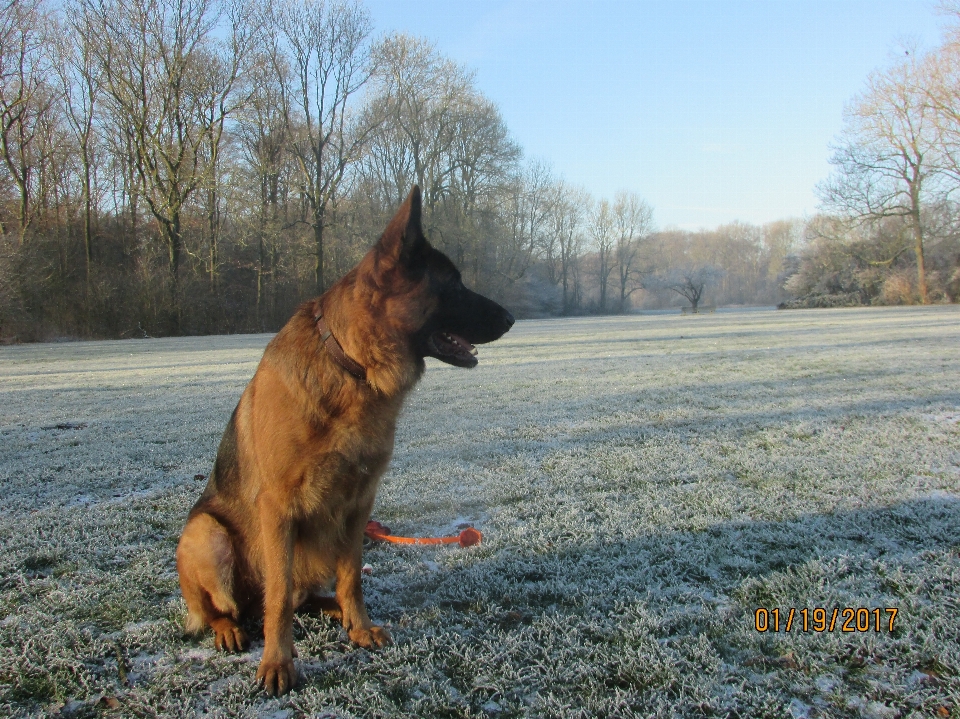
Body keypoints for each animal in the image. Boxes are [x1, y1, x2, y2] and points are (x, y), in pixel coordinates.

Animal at [175, 188, 512, 696]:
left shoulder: (359, 504)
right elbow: (278, 600)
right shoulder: (278, 509)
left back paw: (337, 613)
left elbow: (352, 577)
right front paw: (278, 662)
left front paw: (360, 626)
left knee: (305, 596)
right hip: (205, 534)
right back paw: (230, 628)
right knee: (232, 607)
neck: (353, 367)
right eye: (452, 286)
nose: (512, 318)